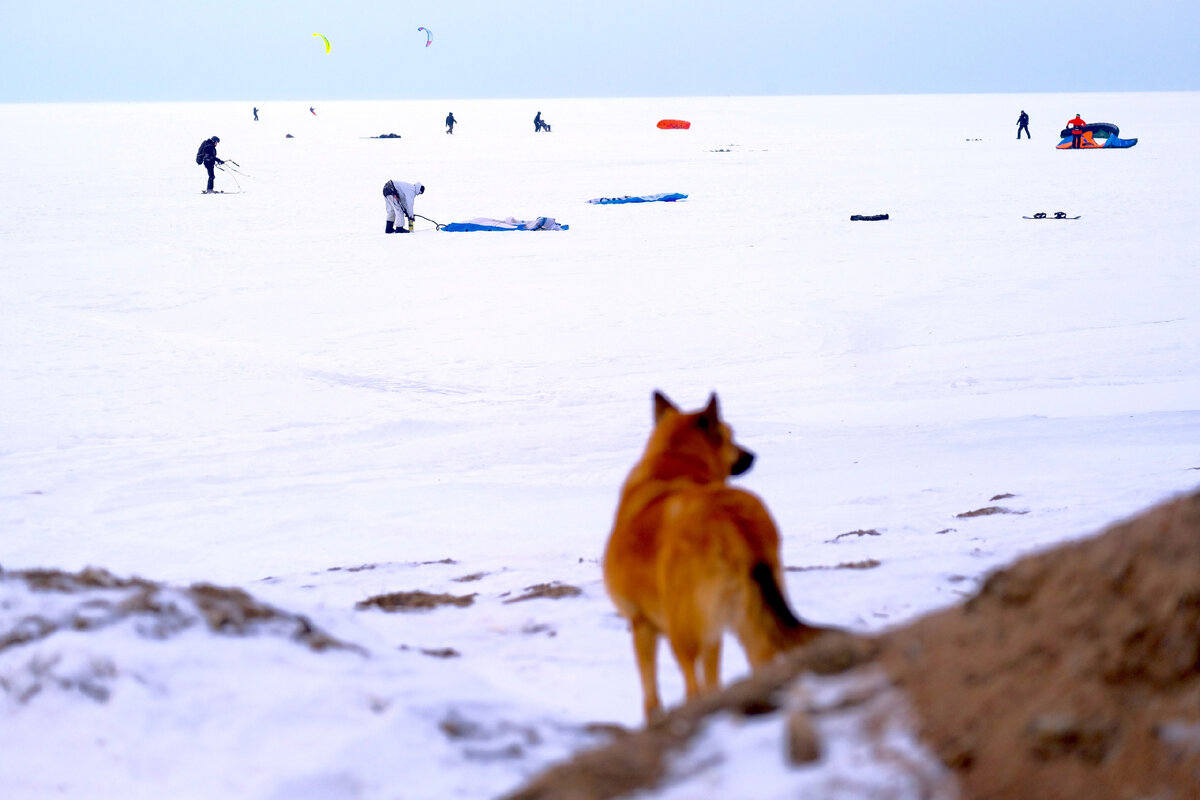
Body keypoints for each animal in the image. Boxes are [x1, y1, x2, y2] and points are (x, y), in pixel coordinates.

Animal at [604, 393, 830, 719]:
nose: (752, 456)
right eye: (729, 436)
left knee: (692, 685)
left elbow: (652, 695)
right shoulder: (714, 633)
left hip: (684, 632)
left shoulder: (641, 622)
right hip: (751, 622)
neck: (674, 466)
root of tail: (733, 520)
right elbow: (713, 680)